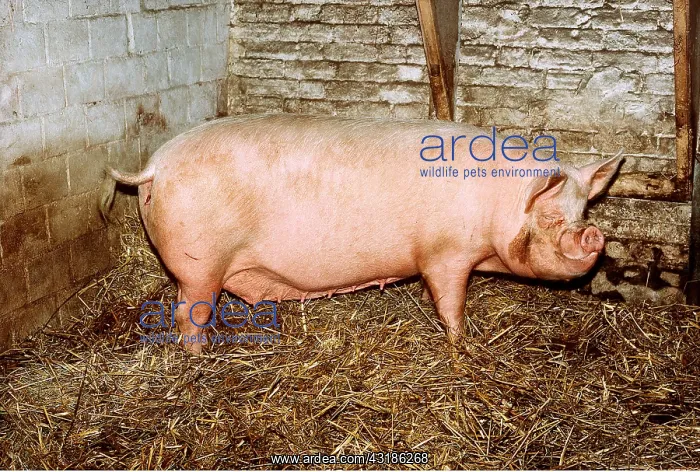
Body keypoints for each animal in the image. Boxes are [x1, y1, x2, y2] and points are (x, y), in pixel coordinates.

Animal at [100, 114, 623, 353]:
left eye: (583, 210)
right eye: (550, 219)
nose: (593, 236)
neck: (497, 206)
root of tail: (155, 166)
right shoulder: (445, 254)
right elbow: (450, 300)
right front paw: (460, 343)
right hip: (199, 262)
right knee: (188, 312)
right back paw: (200, 355)